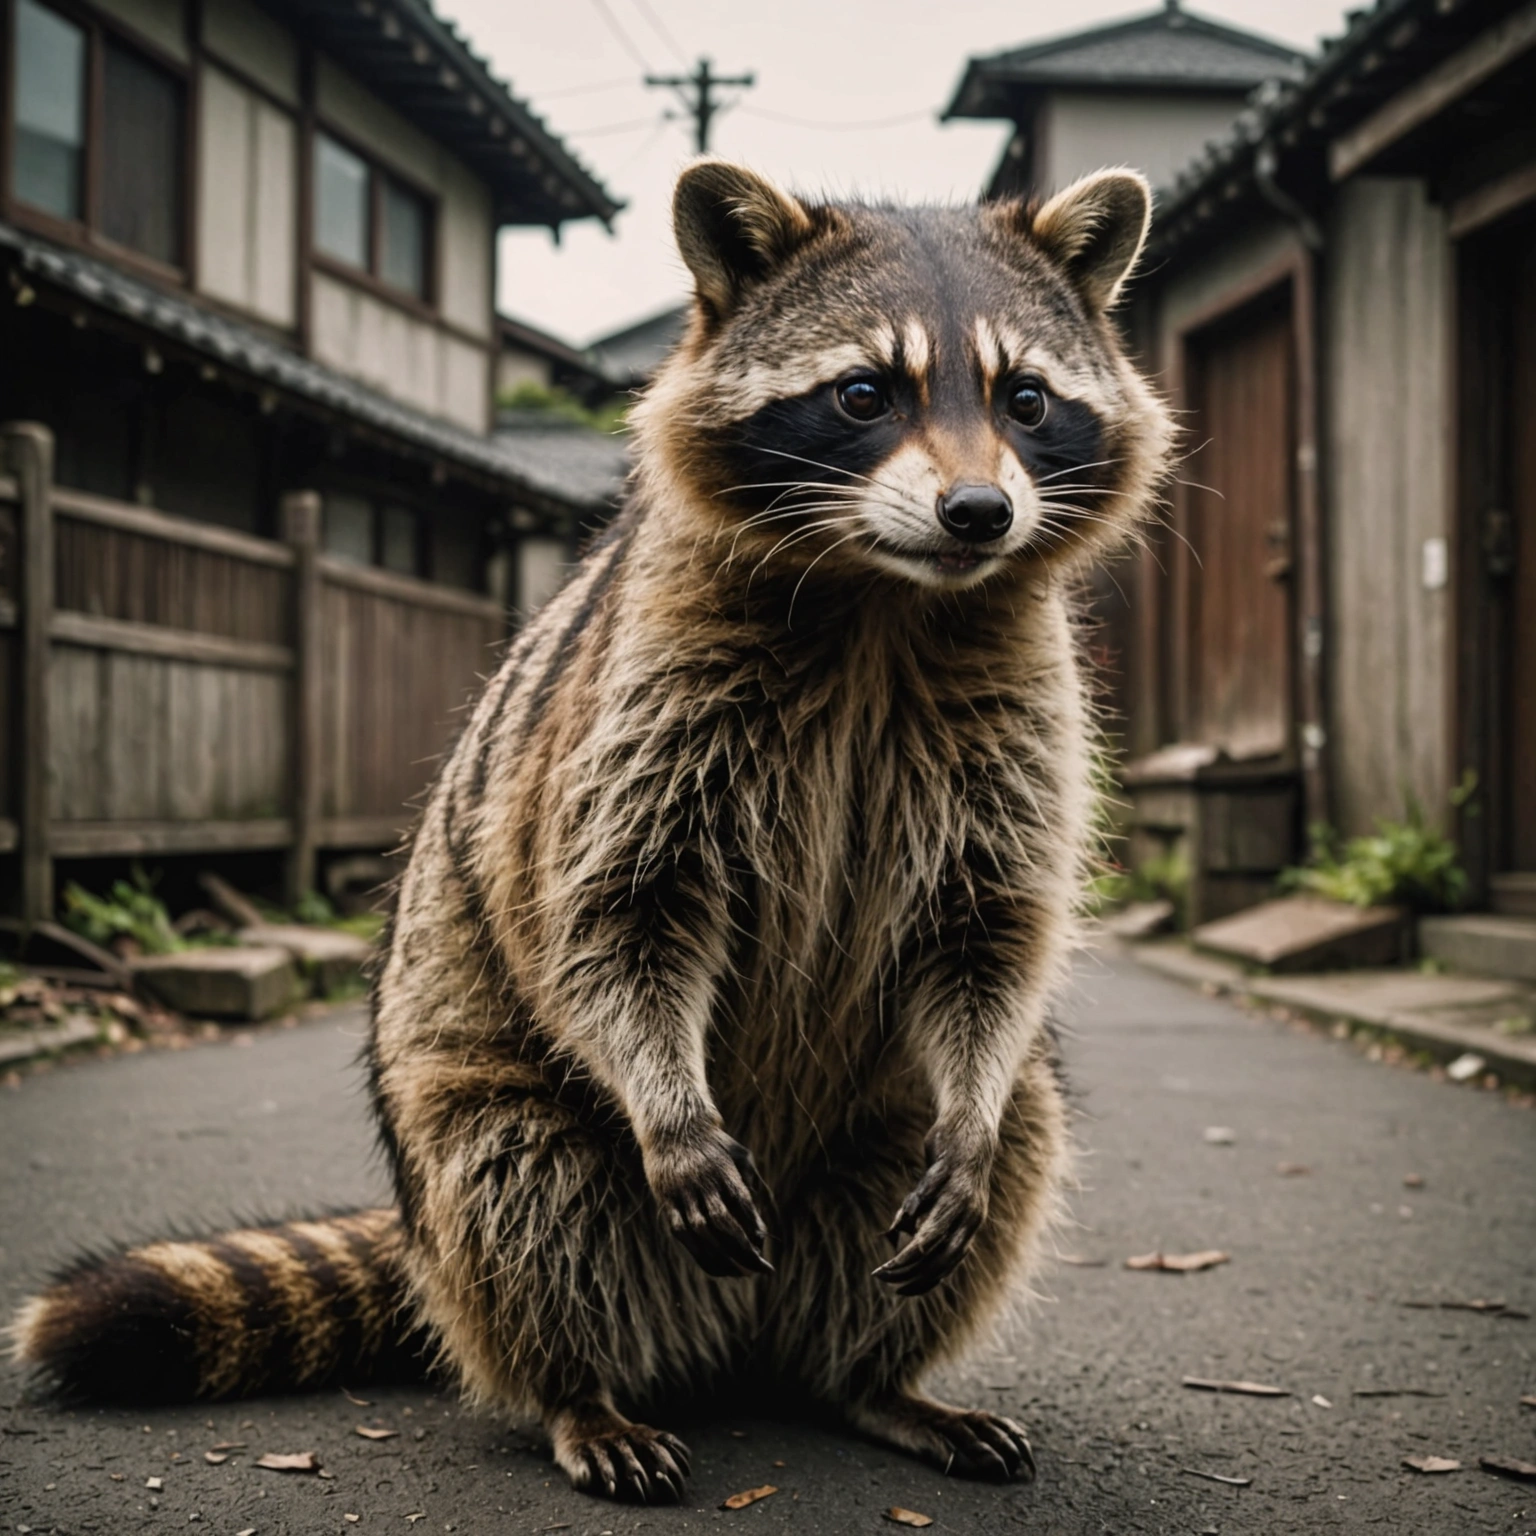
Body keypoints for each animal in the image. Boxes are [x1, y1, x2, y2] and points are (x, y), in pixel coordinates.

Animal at [12, 160, 1172, 1503]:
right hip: (480, 1128)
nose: (980, 512)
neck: (887, 599)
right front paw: (667, 1102)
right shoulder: (635, 708)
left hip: (882, 1135)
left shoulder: (1017, 717)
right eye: (864, 393)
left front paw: (970, 1113)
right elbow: (614, 915)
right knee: (524, 1193)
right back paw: (579, 1389)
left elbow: (990, 933)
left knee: (1021, 1124)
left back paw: (875, 1377)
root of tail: (737, 1334)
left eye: (1026, 398)